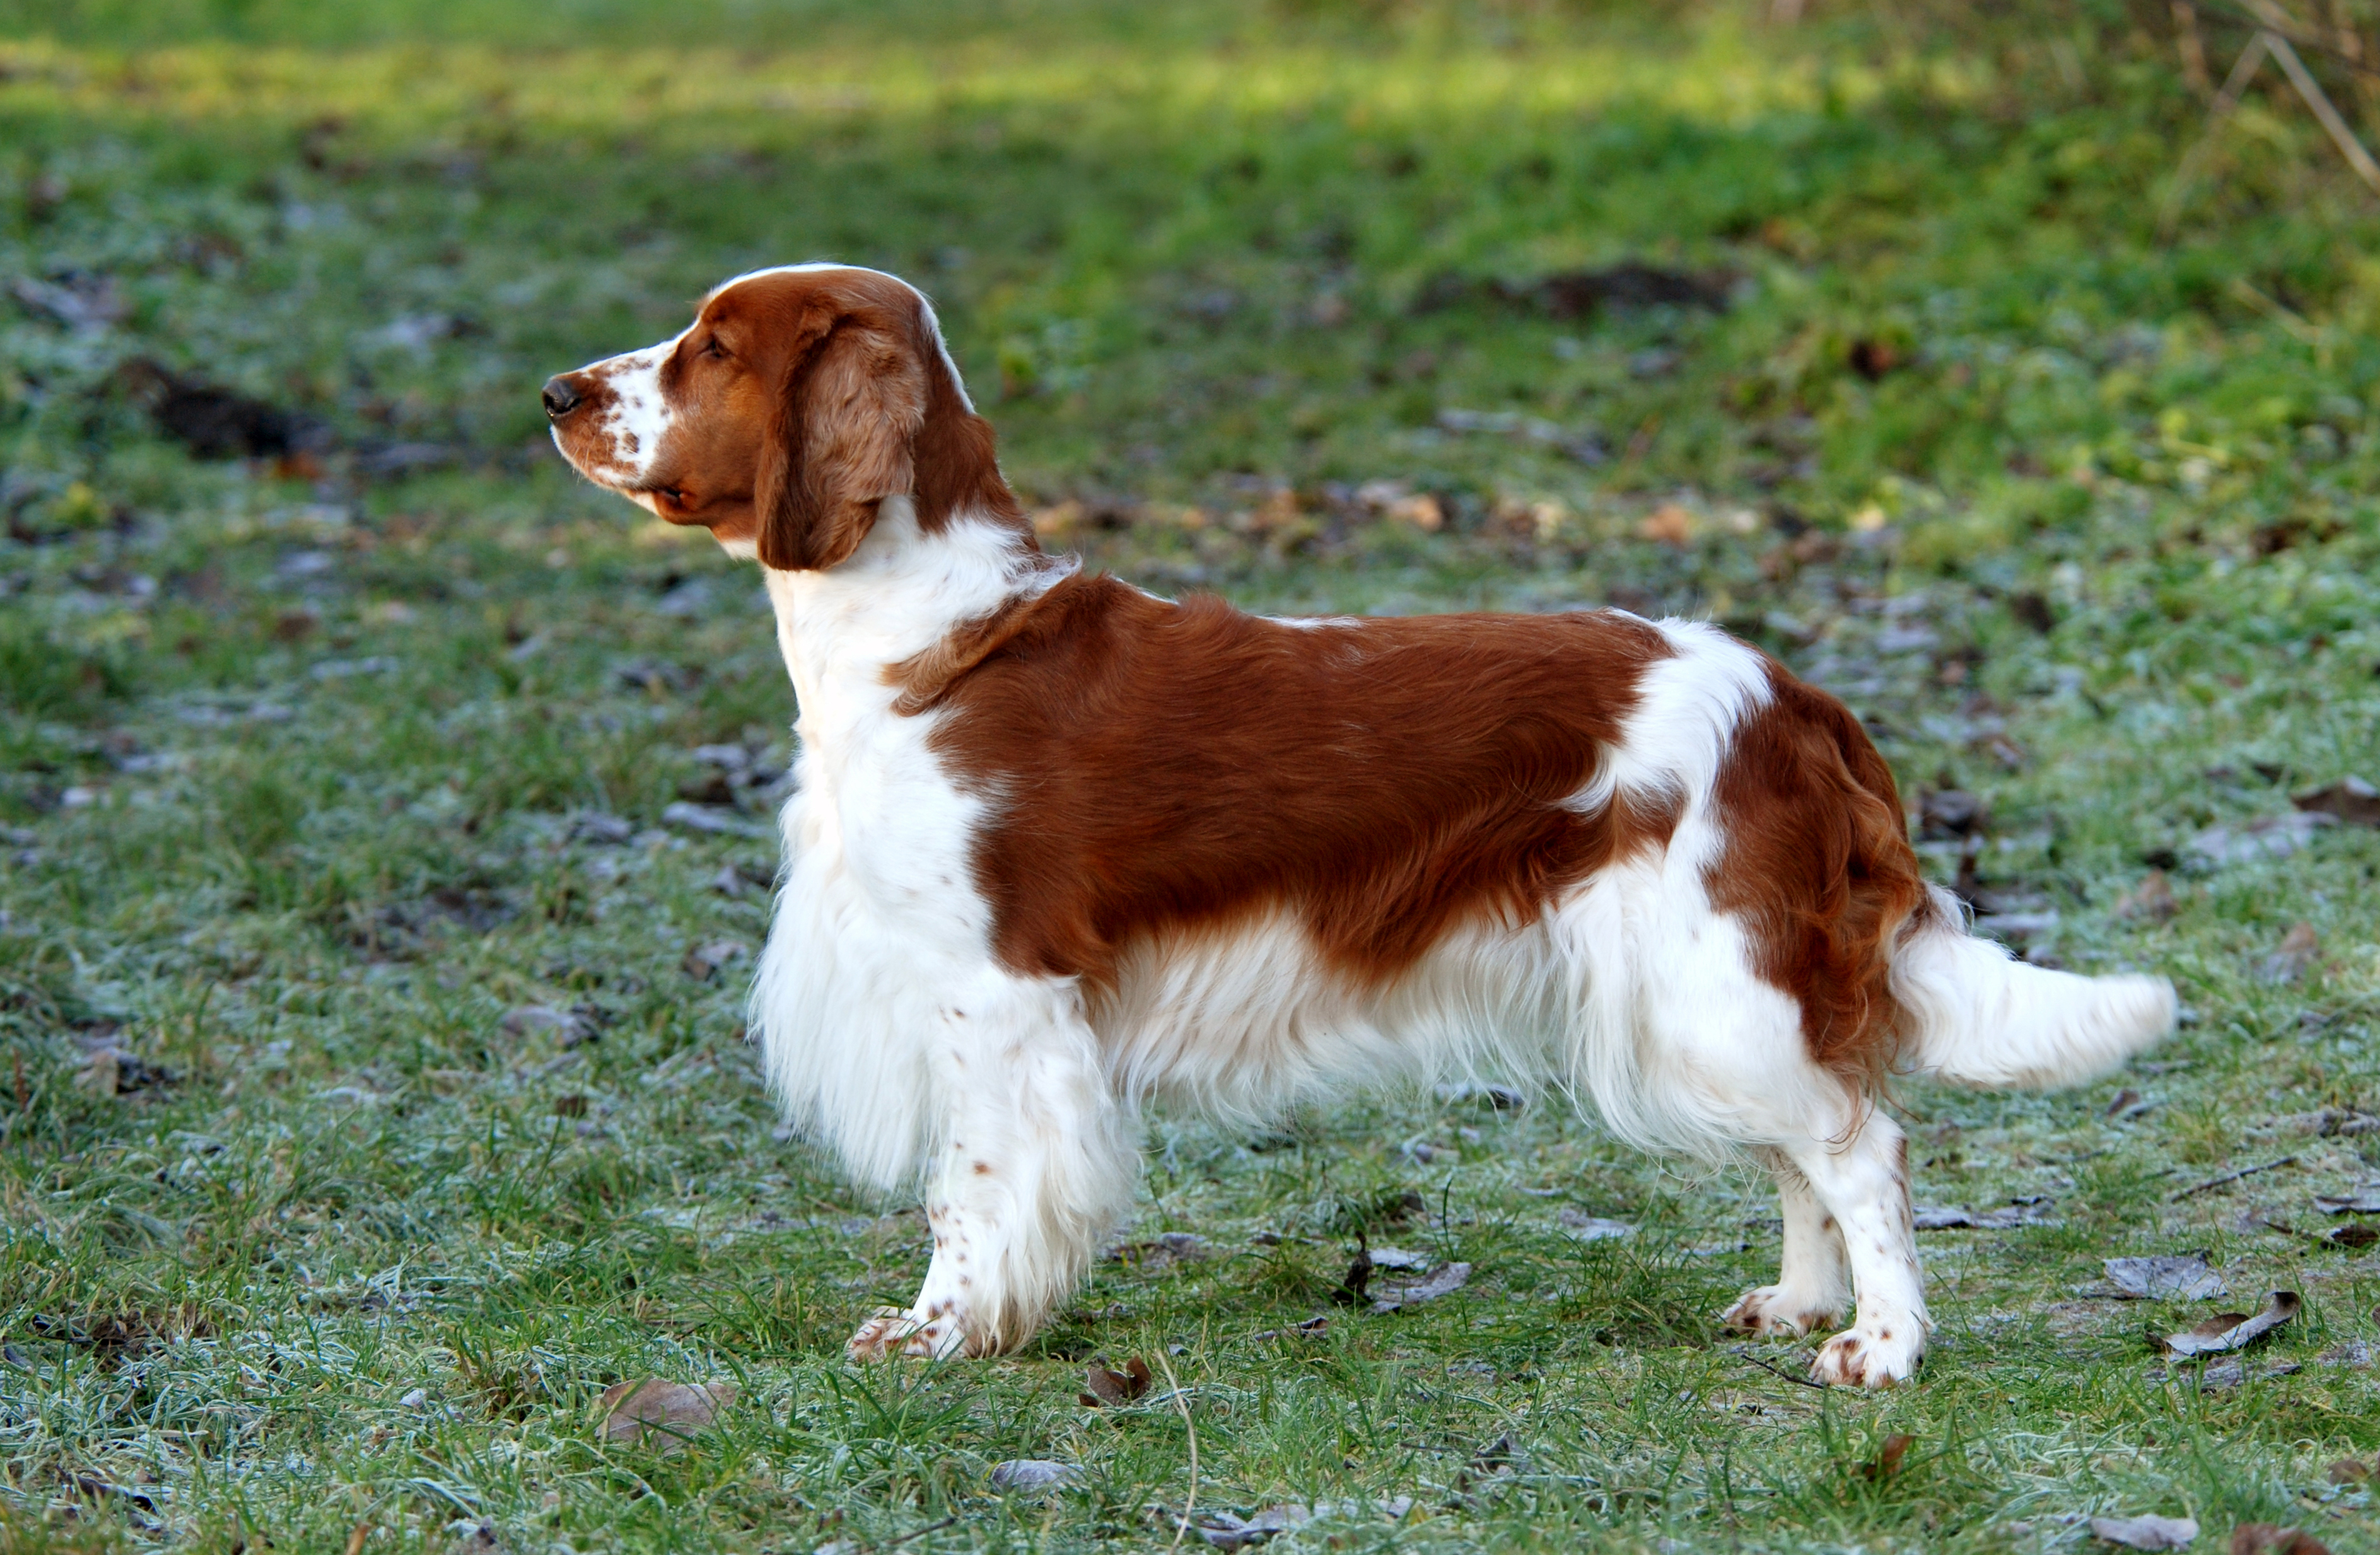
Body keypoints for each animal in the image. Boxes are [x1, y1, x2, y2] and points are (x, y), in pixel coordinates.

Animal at [547, 264, 2179, 1381]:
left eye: (710, 347)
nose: (559, 394)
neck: (926, 636)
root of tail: (1794, 693)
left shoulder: (992, 996)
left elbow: (972, 1191)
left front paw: (941, 1332)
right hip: (1700, 997)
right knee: (1806, 1145)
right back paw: (1799, 1302)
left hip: (1721, 977)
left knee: (1863, 1143)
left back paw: (1882, 1349)